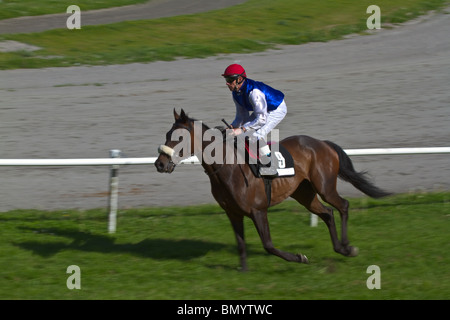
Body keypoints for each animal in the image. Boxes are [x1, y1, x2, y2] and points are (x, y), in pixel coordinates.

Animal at [155, 109, 390, 272]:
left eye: (179, 137)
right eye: (167, 133)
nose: (160, 164)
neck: (228, 166)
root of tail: (322, 143)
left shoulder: (258, 210)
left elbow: (268, 244)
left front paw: (299, 258)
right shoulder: (233, 213)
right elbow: (240, 243)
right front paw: (243, 270)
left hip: (324, 187)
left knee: (343, 206)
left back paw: (348, 247)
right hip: (304, 194)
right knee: (328, 213)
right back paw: (340, 248)